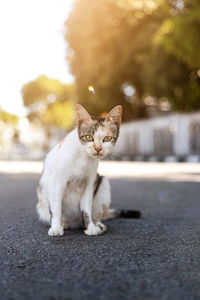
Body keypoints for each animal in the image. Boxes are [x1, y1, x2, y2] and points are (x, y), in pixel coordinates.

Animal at [36, 103, 140, 237]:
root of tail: (75, 223)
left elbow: (86, 209)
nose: (98, 148)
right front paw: (56, 227)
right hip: (43, 199)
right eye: (89, 137)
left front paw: (90, 227)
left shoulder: (89, 183)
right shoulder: (57, 182)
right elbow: (56, 208)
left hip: (103, 184)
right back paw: (64, 224)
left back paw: (97, 224)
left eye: (107, 139)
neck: (83, 157)